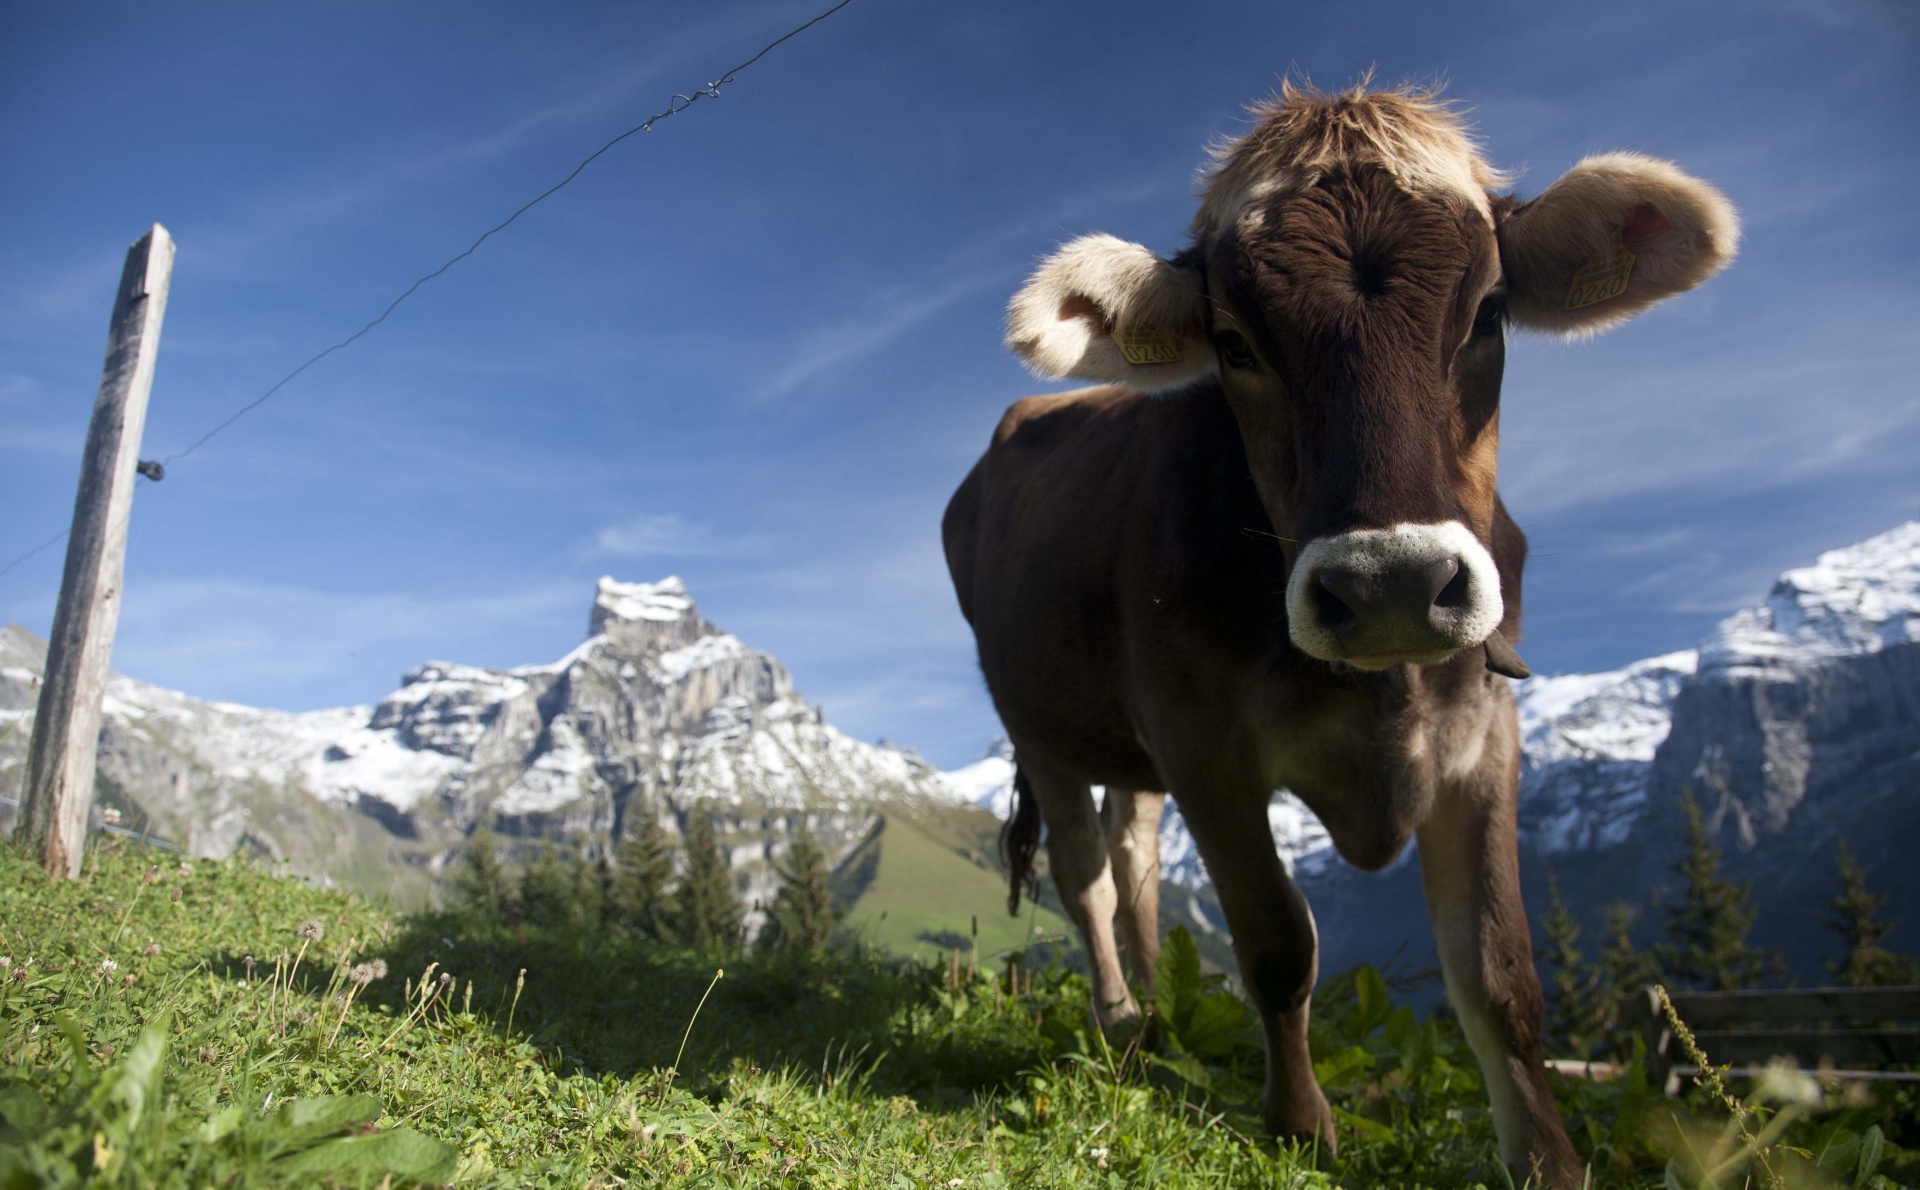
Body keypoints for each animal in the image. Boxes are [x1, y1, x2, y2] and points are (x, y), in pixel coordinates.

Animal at [944, 81, 1743, 1182]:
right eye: (1235, 341)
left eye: (1490, 311)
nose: (1393, 583)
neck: (1379, 687)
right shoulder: (1204, 746)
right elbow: (1278, 939)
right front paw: (1300, 1126)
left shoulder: (1486, 733)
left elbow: (1498, 970)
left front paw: (1548, 1159)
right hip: (1041, 724)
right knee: (1085, 870)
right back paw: (1118, 1018)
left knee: (1135, 855)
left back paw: (1163, 1013)